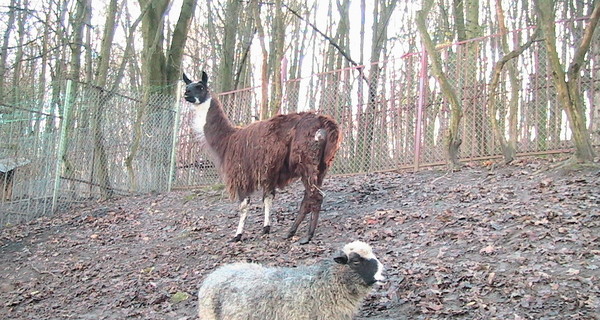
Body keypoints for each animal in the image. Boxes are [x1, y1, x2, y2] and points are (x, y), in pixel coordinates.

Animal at [183, 71, 340, 244]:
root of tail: (324, 122)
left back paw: (307, 236)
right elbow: (268, 198)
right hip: (322, 164)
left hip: (306, 160)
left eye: (200, 87)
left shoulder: (241, 174)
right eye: (187, 85)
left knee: (315, 197)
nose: (186, 93)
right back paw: (291, 232)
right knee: (309, 198)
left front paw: (238, 235)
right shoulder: (268, 172)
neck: (227, 139)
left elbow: (244, 205)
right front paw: (266, 228)